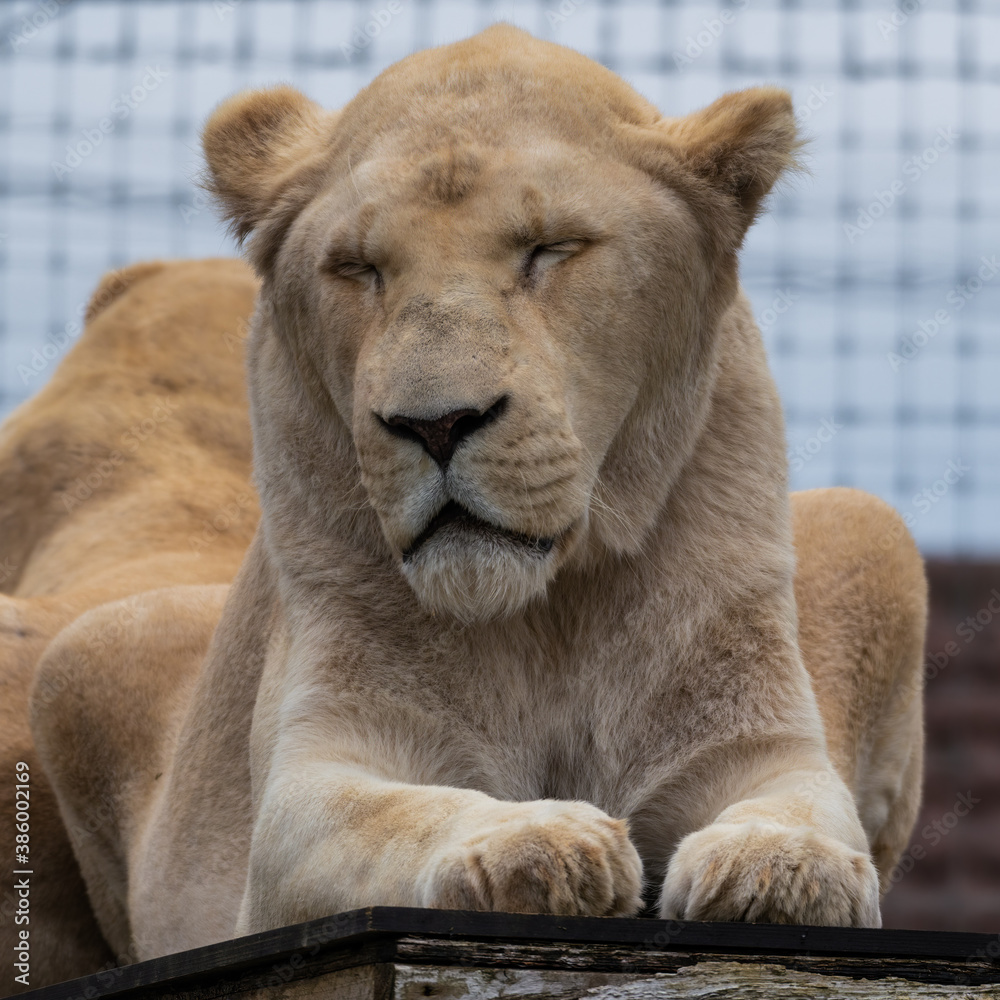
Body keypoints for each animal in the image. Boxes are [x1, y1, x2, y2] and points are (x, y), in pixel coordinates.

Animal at [12, 24, 928, 984]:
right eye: (359, 268)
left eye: (551, 248)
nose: (436, 423)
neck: (549, 615)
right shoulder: (305, 798)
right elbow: (404, 812)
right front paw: (538, 843)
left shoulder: (755, 744)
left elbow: (804, 806)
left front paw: (785, 867)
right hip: (77, 654)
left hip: (867, 521)